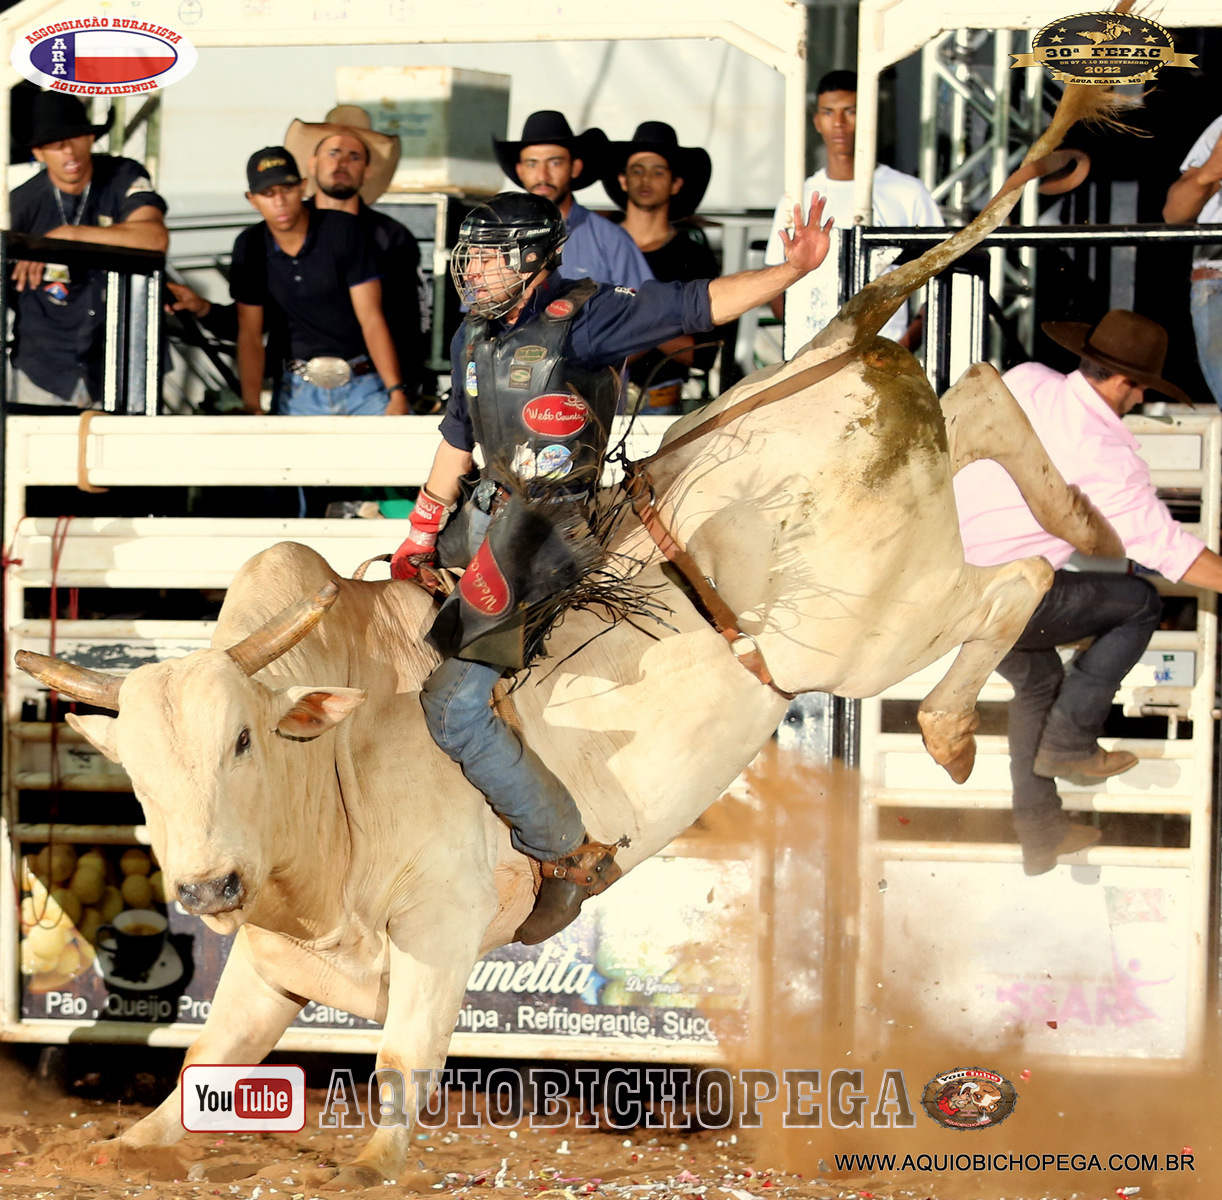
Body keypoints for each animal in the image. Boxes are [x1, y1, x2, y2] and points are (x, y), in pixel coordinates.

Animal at [16, 73, 1128, 1188]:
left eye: (243, 740)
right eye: (137, 769)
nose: (205, 884)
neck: (330, 778)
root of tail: (837, 338)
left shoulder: (438, 933)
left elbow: (397, 1086)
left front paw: (369, 1158)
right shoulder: (269, 967)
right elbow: (182, 1088)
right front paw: (131, 1142)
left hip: (867, 631)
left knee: (1012, 579)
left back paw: (966, 709)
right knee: (980, 394)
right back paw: (1084, 516)